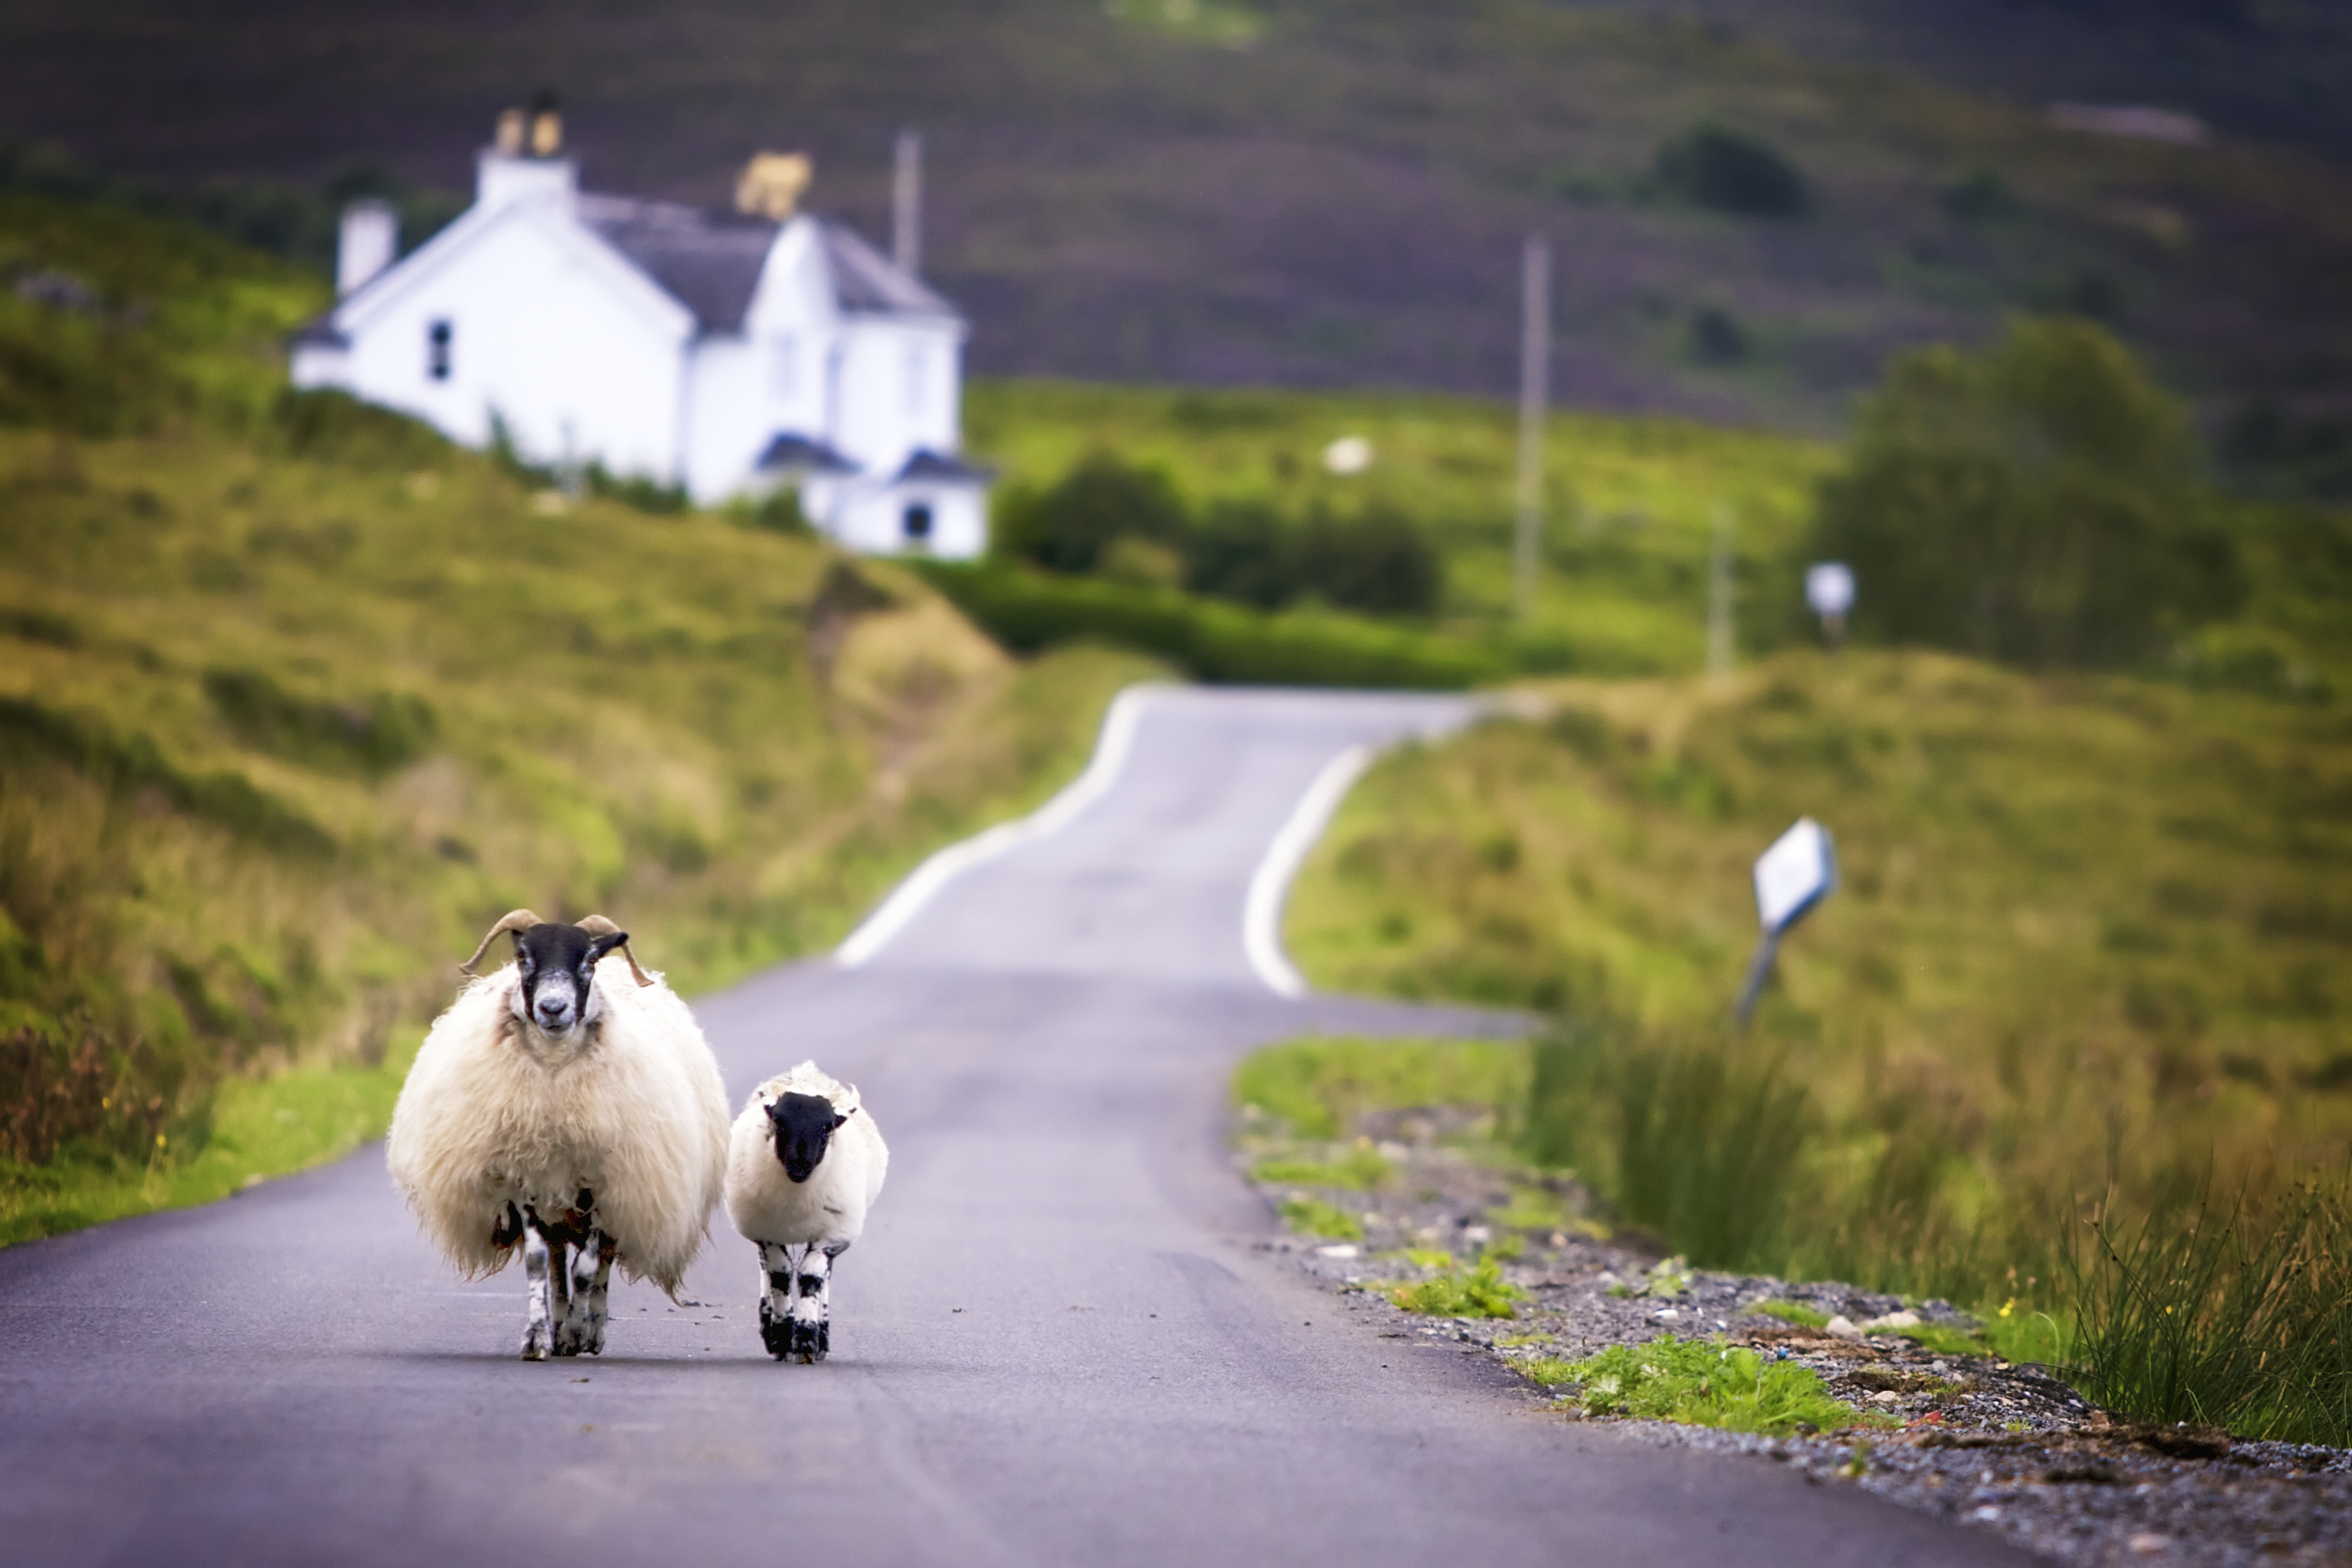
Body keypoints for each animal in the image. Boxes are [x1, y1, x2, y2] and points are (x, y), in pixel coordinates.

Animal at [387, 909, 731, 1360]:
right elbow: (538, 1261)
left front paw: (578, 1331)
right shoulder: (524, 1178)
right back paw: (561, 1323)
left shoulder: (605, 1183)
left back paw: (590, 1329)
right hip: (557, 1202)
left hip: (622, 1193)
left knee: (600, 1263)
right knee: (554, 1259)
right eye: (522, 956)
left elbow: (586, 1268)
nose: (553, 1008)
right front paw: (538, 1337)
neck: (553, 1077)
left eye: (589, 961)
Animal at [723, 1061, 888, 1363]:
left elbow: (811, 1279)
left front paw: (807, 1340)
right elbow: (780, 1275)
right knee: (766, 1269)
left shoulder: (830, 1235)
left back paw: (821, 1334)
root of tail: (807, 1073)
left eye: (826, 1128)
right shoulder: (767, 1233)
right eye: (779, 1123)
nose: (800, 1163)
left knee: (823, 1277)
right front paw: (781, 1336)